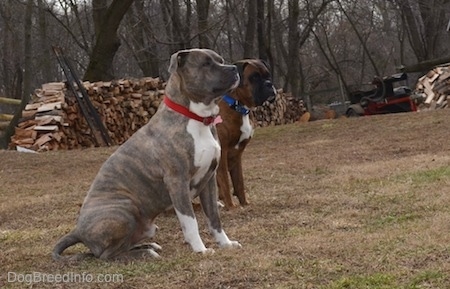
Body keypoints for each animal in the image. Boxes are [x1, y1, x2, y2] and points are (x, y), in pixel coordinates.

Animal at [51, 48, 243, 260]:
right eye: (206, 64)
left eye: (220, 60)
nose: (234, 69)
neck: (197, 119)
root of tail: (78, 230)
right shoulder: (177, 181)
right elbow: (190, 221)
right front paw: (200, 249)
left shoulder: (209, 179)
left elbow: (214, 219)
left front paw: (226, 244)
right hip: (125, 209)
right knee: (106, 255)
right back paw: (145, 253)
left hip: (145, 226)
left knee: (119, 248)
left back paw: (148, 247)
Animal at [216, 59, 276, 207]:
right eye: (254, 77)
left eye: (268, 75)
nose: (269, 84)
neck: (238, 107)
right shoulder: (222, 154)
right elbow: (225, 182)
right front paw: (231, 207)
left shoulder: (237, 155)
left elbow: (239, 182)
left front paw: (244, 204)